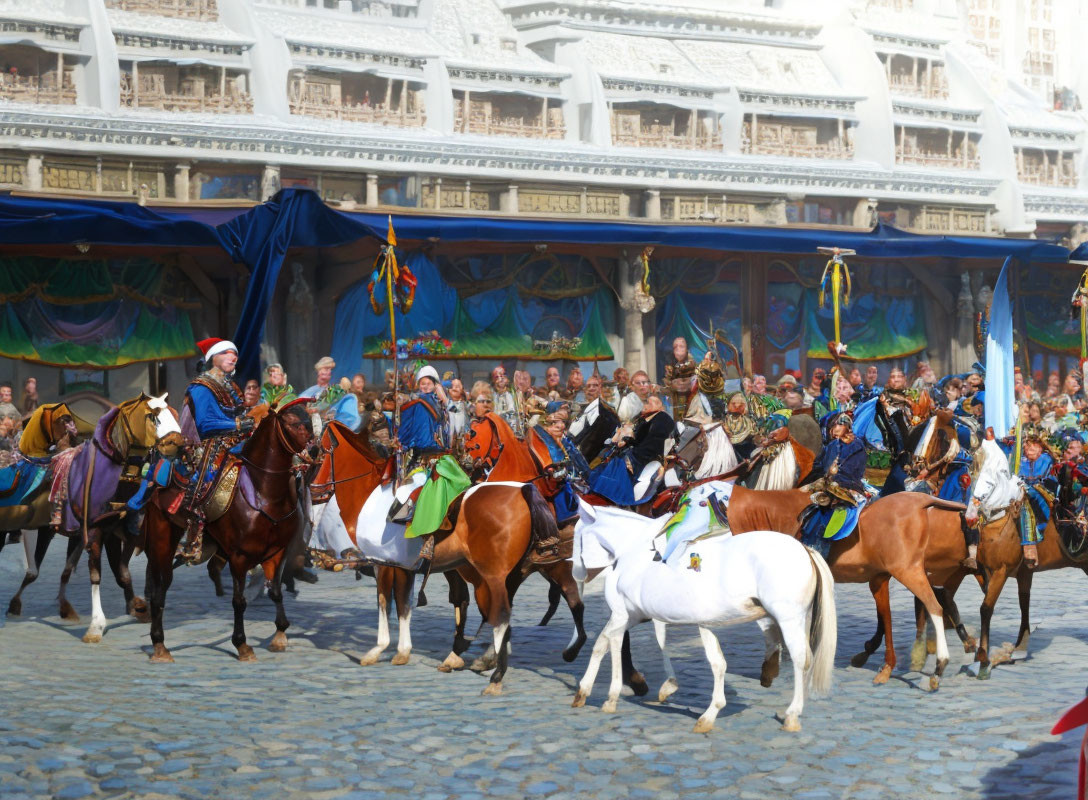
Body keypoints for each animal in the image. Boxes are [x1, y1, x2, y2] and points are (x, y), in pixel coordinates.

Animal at [142, 400, 313, 661]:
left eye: (309, 420)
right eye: (293, 423)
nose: (314, 450)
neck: (265, 494)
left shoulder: (277, 552)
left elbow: (275, 591)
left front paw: (280, 634)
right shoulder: (239, 557)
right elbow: (239, 601)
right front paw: (242, 645)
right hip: (161, 539)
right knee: (160, 588)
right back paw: (159, 645)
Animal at [574, 502, 835, 735]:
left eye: (577, 537)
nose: (577, 574)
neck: (635, 553)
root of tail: (805, 550)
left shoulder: (623, 613)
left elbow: (615, 642)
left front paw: (610, 696)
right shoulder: (643, 616)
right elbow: (608, 643)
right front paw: (585, 691)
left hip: (789, 619)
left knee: (801, 659)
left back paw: (792, 714)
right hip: (797, 620)